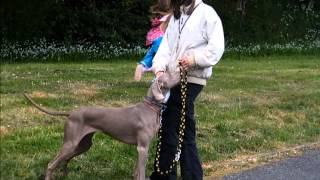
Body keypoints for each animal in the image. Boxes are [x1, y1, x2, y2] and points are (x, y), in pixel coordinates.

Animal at [23, 71, 180, 179]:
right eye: (169, 73)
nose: (180, 68)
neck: (150, 108)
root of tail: (71, 113)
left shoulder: (139, 148)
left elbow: (136, 172)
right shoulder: (142, 148)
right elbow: (140, 173)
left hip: (84, 144)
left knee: (65, 160)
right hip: (70, 143)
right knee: (51, 164)